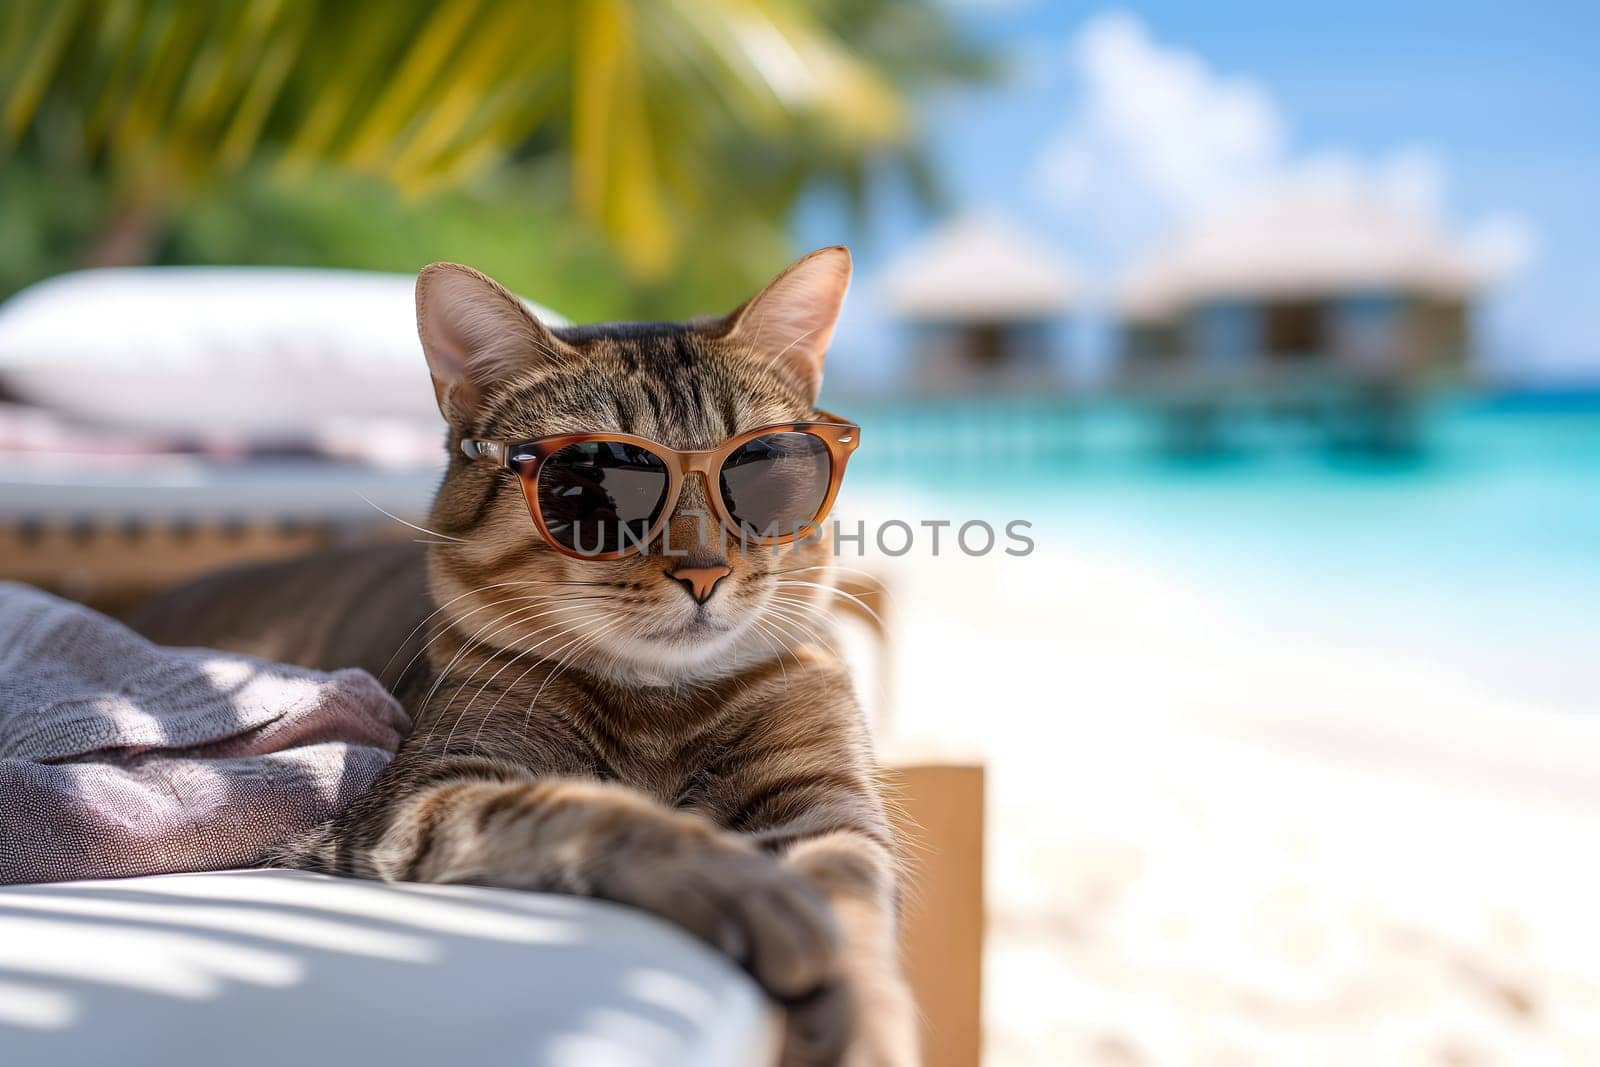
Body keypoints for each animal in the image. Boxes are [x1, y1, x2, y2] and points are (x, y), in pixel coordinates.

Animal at [128, 247, 915, 1067]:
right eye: (591, 486)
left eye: (759, 474)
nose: (704, 571)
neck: (661, 702)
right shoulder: (428, 794)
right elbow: (594, 810)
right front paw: (744, 884)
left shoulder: (831, 808)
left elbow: (854, 912)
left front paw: (863, 1022)